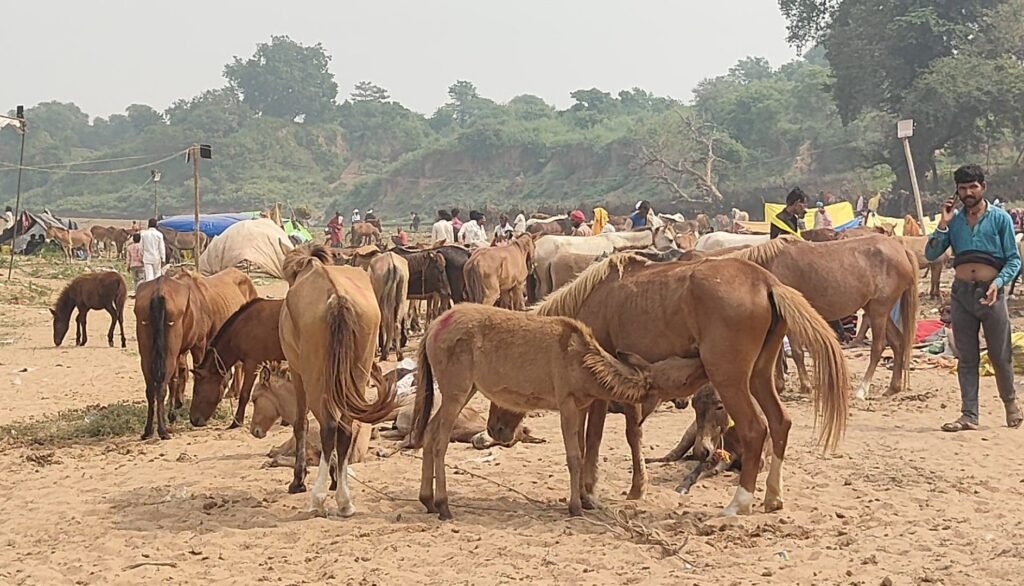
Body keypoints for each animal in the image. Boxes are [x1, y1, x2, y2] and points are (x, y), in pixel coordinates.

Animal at [135, 268, 258, 440]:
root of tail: (158, 292)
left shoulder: (182, 351)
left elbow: (175, 378)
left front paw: (173, 413)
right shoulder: (198, 345)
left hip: (147, 355)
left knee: (152, 389)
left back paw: (148, 430)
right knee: (160, 387)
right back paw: (162, 430)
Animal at [189, 298, 286, 429]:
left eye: (197, 391)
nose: (193, 420)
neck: (243, 327)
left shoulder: (252, 364)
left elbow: (244, 394)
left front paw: (236, 422)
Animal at [278, 243, 397, 516]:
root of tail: (338, 298)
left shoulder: (297, 373)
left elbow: (300, 424)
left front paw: (298, 480)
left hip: (316, 378)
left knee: (329, 426)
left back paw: (318, 497)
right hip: (358, 374)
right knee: (344, 428)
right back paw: (344, 500)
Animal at [410, 303, 708, 519]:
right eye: (683, 378)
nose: (702, 361)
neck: (584, 361)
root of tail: (433, 327)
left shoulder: (582, 405)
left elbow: (584, 450)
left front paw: (587, 499)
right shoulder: (566, 404)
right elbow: (574, 456)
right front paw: (575, 506)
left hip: (462, 391)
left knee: (429, 432)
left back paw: (427, 500)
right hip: (455, 392)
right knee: (440, 441)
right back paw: (443, 505)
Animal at [511, 253, 849, 515]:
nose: (500, 433)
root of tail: (767, 283)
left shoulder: (595, 390)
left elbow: (591, 439)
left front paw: (588, 492)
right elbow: (631, 433)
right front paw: (634, 488)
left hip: (730, 379)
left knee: (756, 430)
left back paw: (739, 503)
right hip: (759, 375)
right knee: (780, 423)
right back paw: (772, 496)